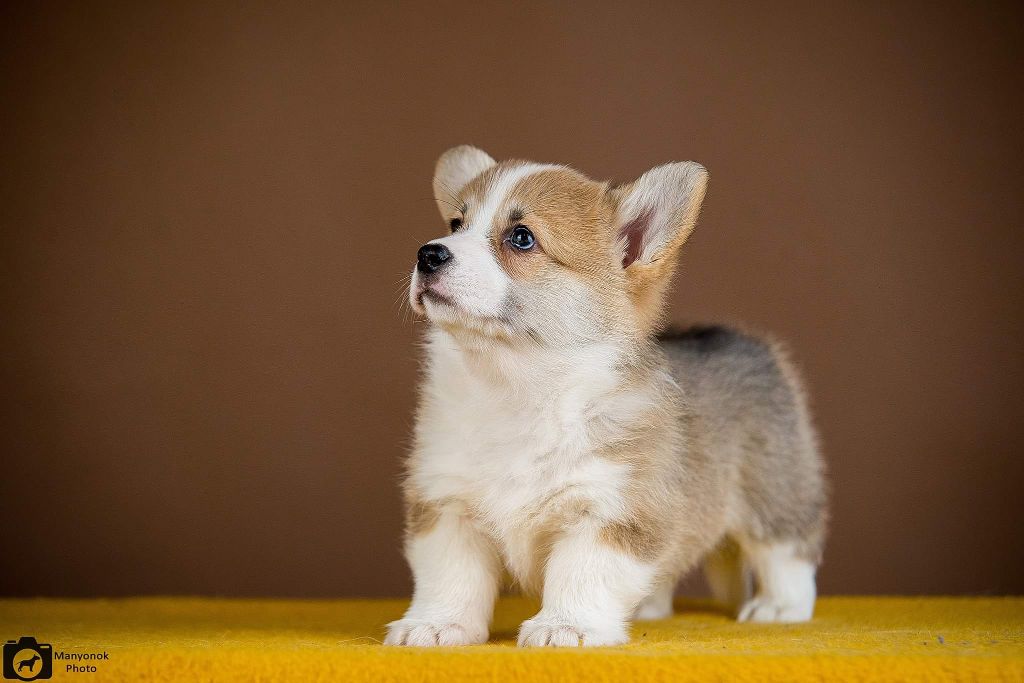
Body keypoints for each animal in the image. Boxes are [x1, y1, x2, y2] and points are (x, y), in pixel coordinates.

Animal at [387, 147, 827, 651]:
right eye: (456, 223)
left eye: (522, 238)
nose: (428, 253)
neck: (516, 387)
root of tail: (742, 338)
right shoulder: (446, 503)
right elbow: (449, 576)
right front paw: (435, 625)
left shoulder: (610, 508)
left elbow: (581, 573)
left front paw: (565, 626)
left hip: (777, 492)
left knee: (788, 553)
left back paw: (780, 607)